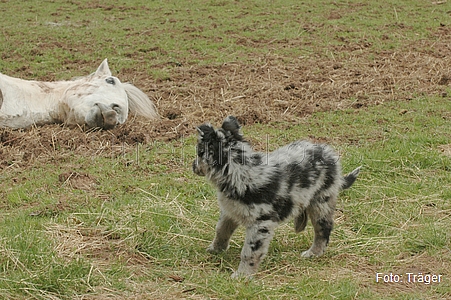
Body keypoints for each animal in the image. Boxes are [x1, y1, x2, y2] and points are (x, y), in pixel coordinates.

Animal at [192, 115, 362, 278]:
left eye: (199, 153)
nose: (192, 166)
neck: (240, 169)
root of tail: (329, 153)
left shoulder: (260, 224)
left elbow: (249, 253)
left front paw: (242, 276)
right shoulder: (230, 211)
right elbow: (221, 231)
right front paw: (215, 250)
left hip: (321, 201)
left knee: (323, 229)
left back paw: (313, 253)